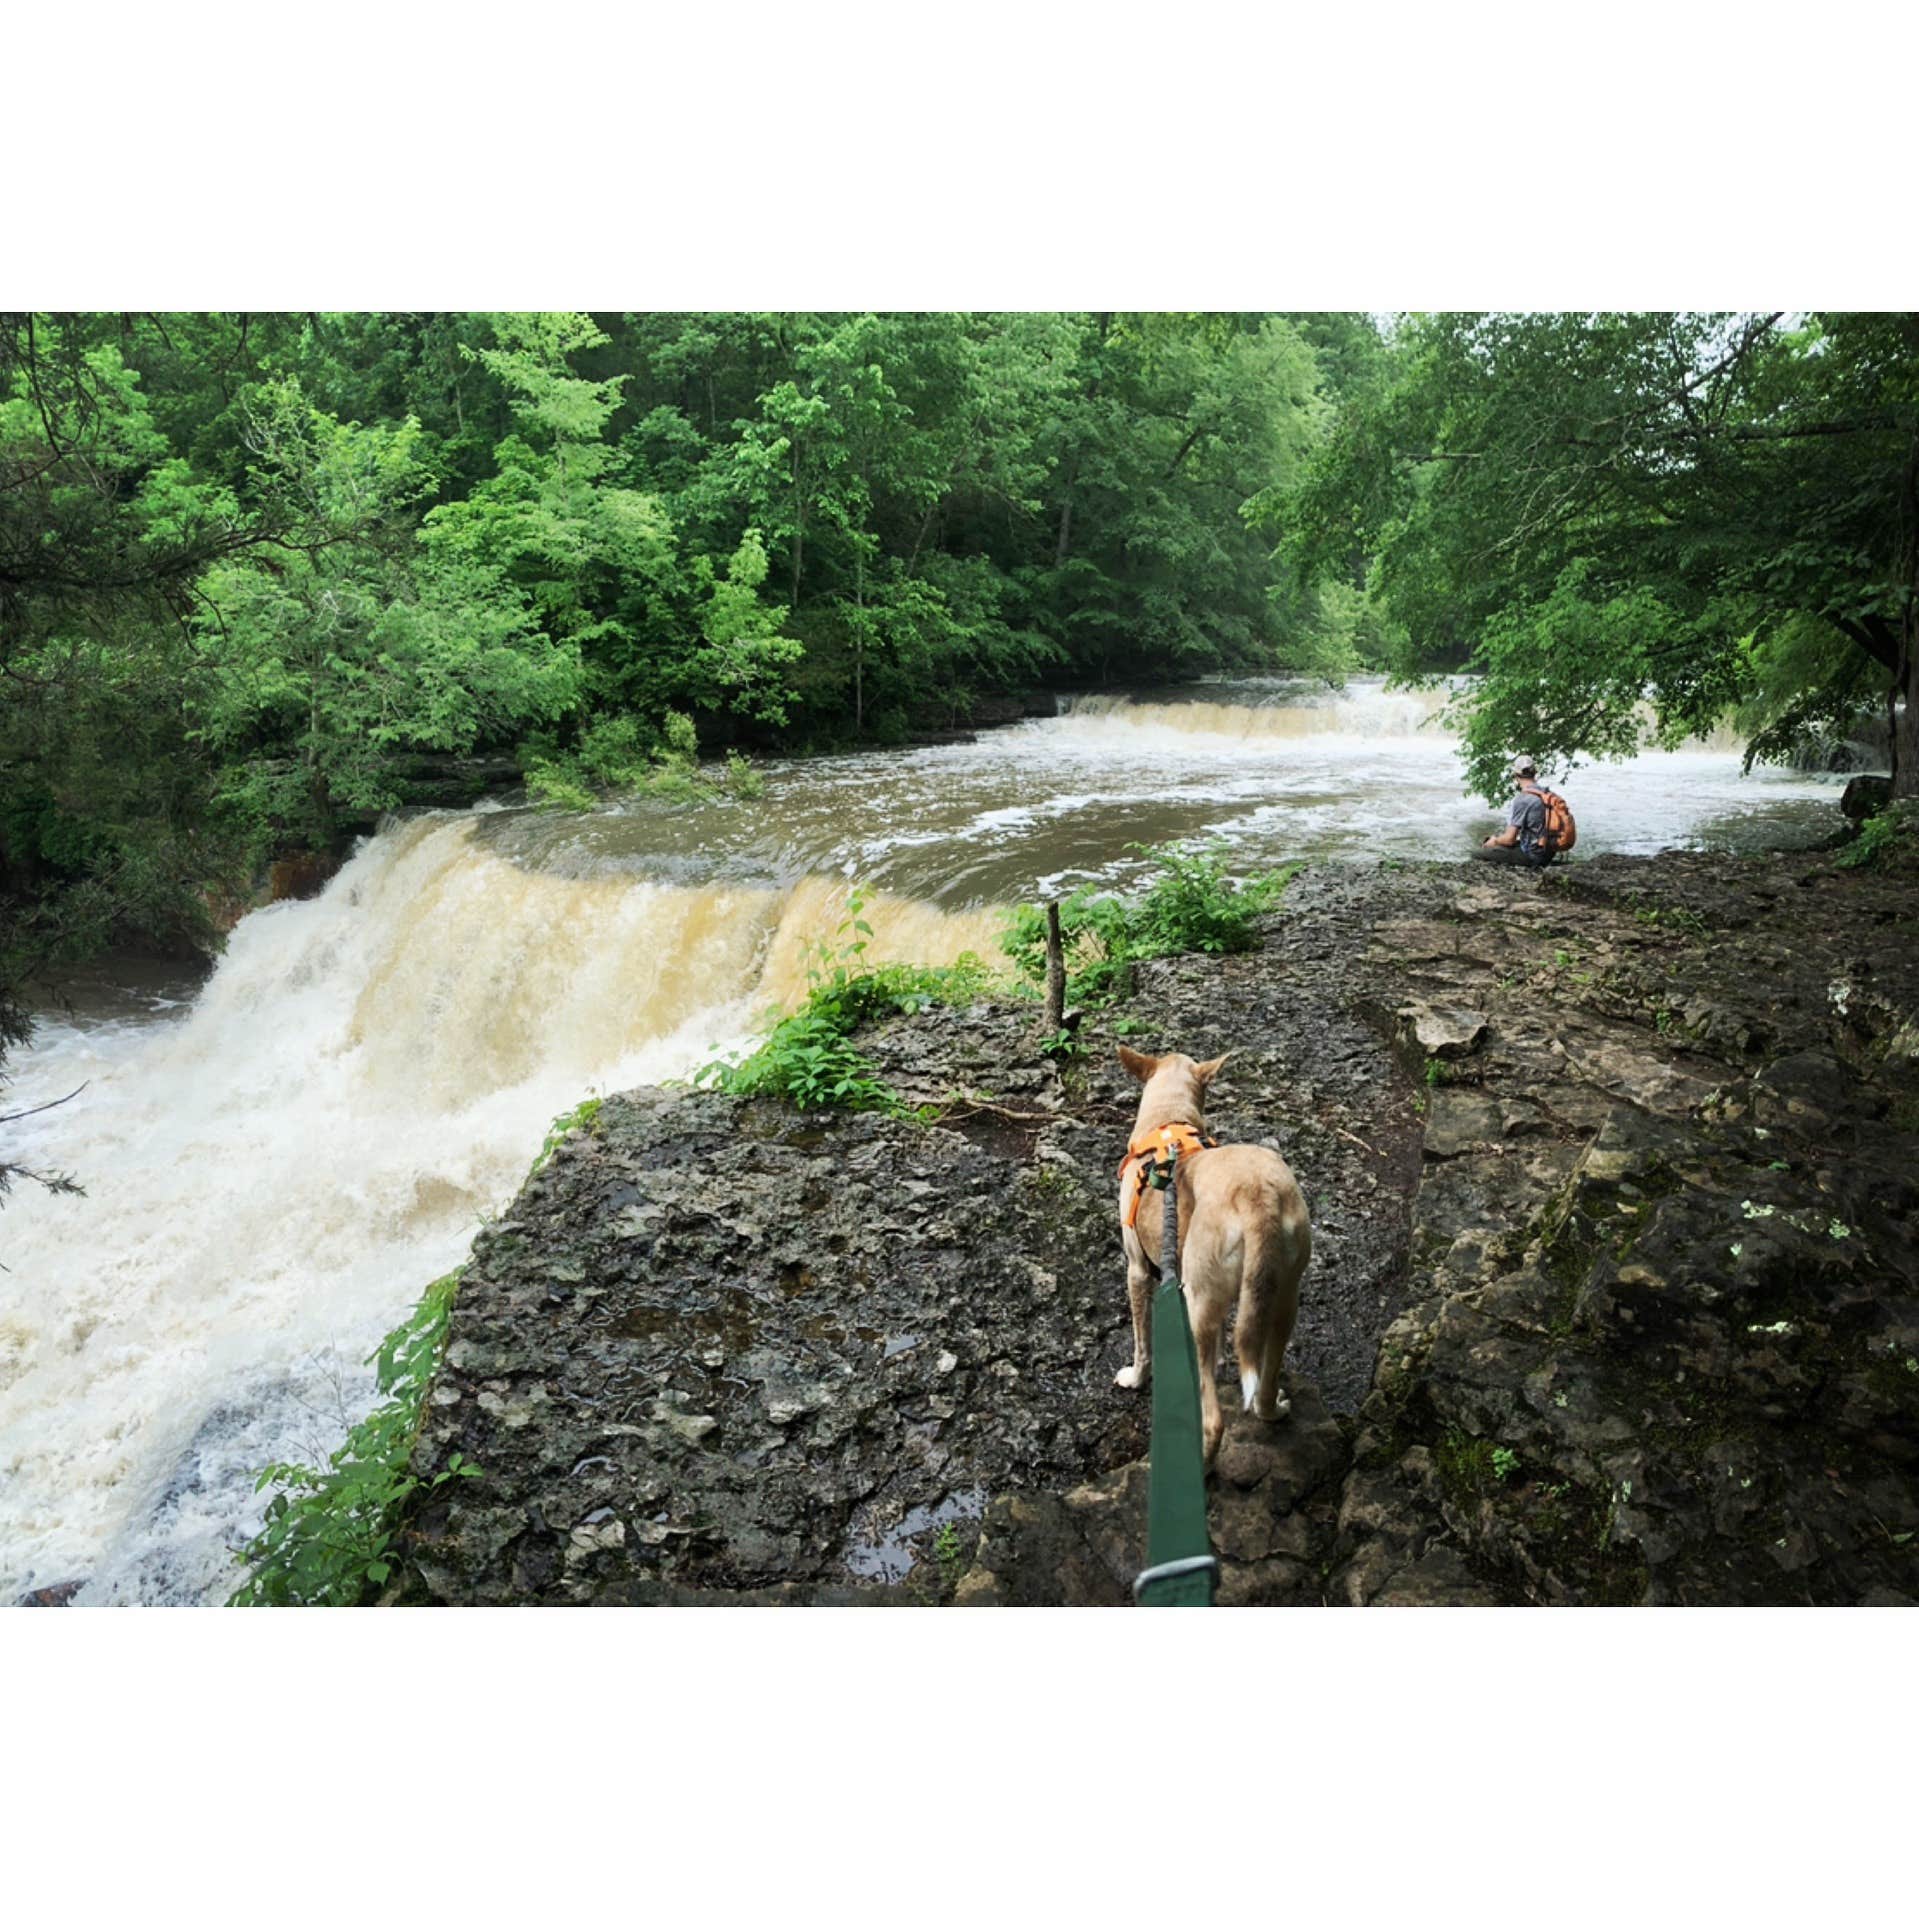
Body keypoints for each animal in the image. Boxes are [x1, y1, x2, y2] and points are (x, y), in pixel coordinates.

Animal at [1120, 1043, 1312, 1458]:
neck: (1170, 1119)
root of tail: (1258, 1197)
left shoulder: (1138, 1270)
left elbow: (1142, 1343)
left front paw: (1135, 1378)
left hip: (1199, 1305)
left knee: (1213, 1420)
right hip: (1284, 1297)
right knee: (1265, 1385)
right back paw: (1274, 1410)